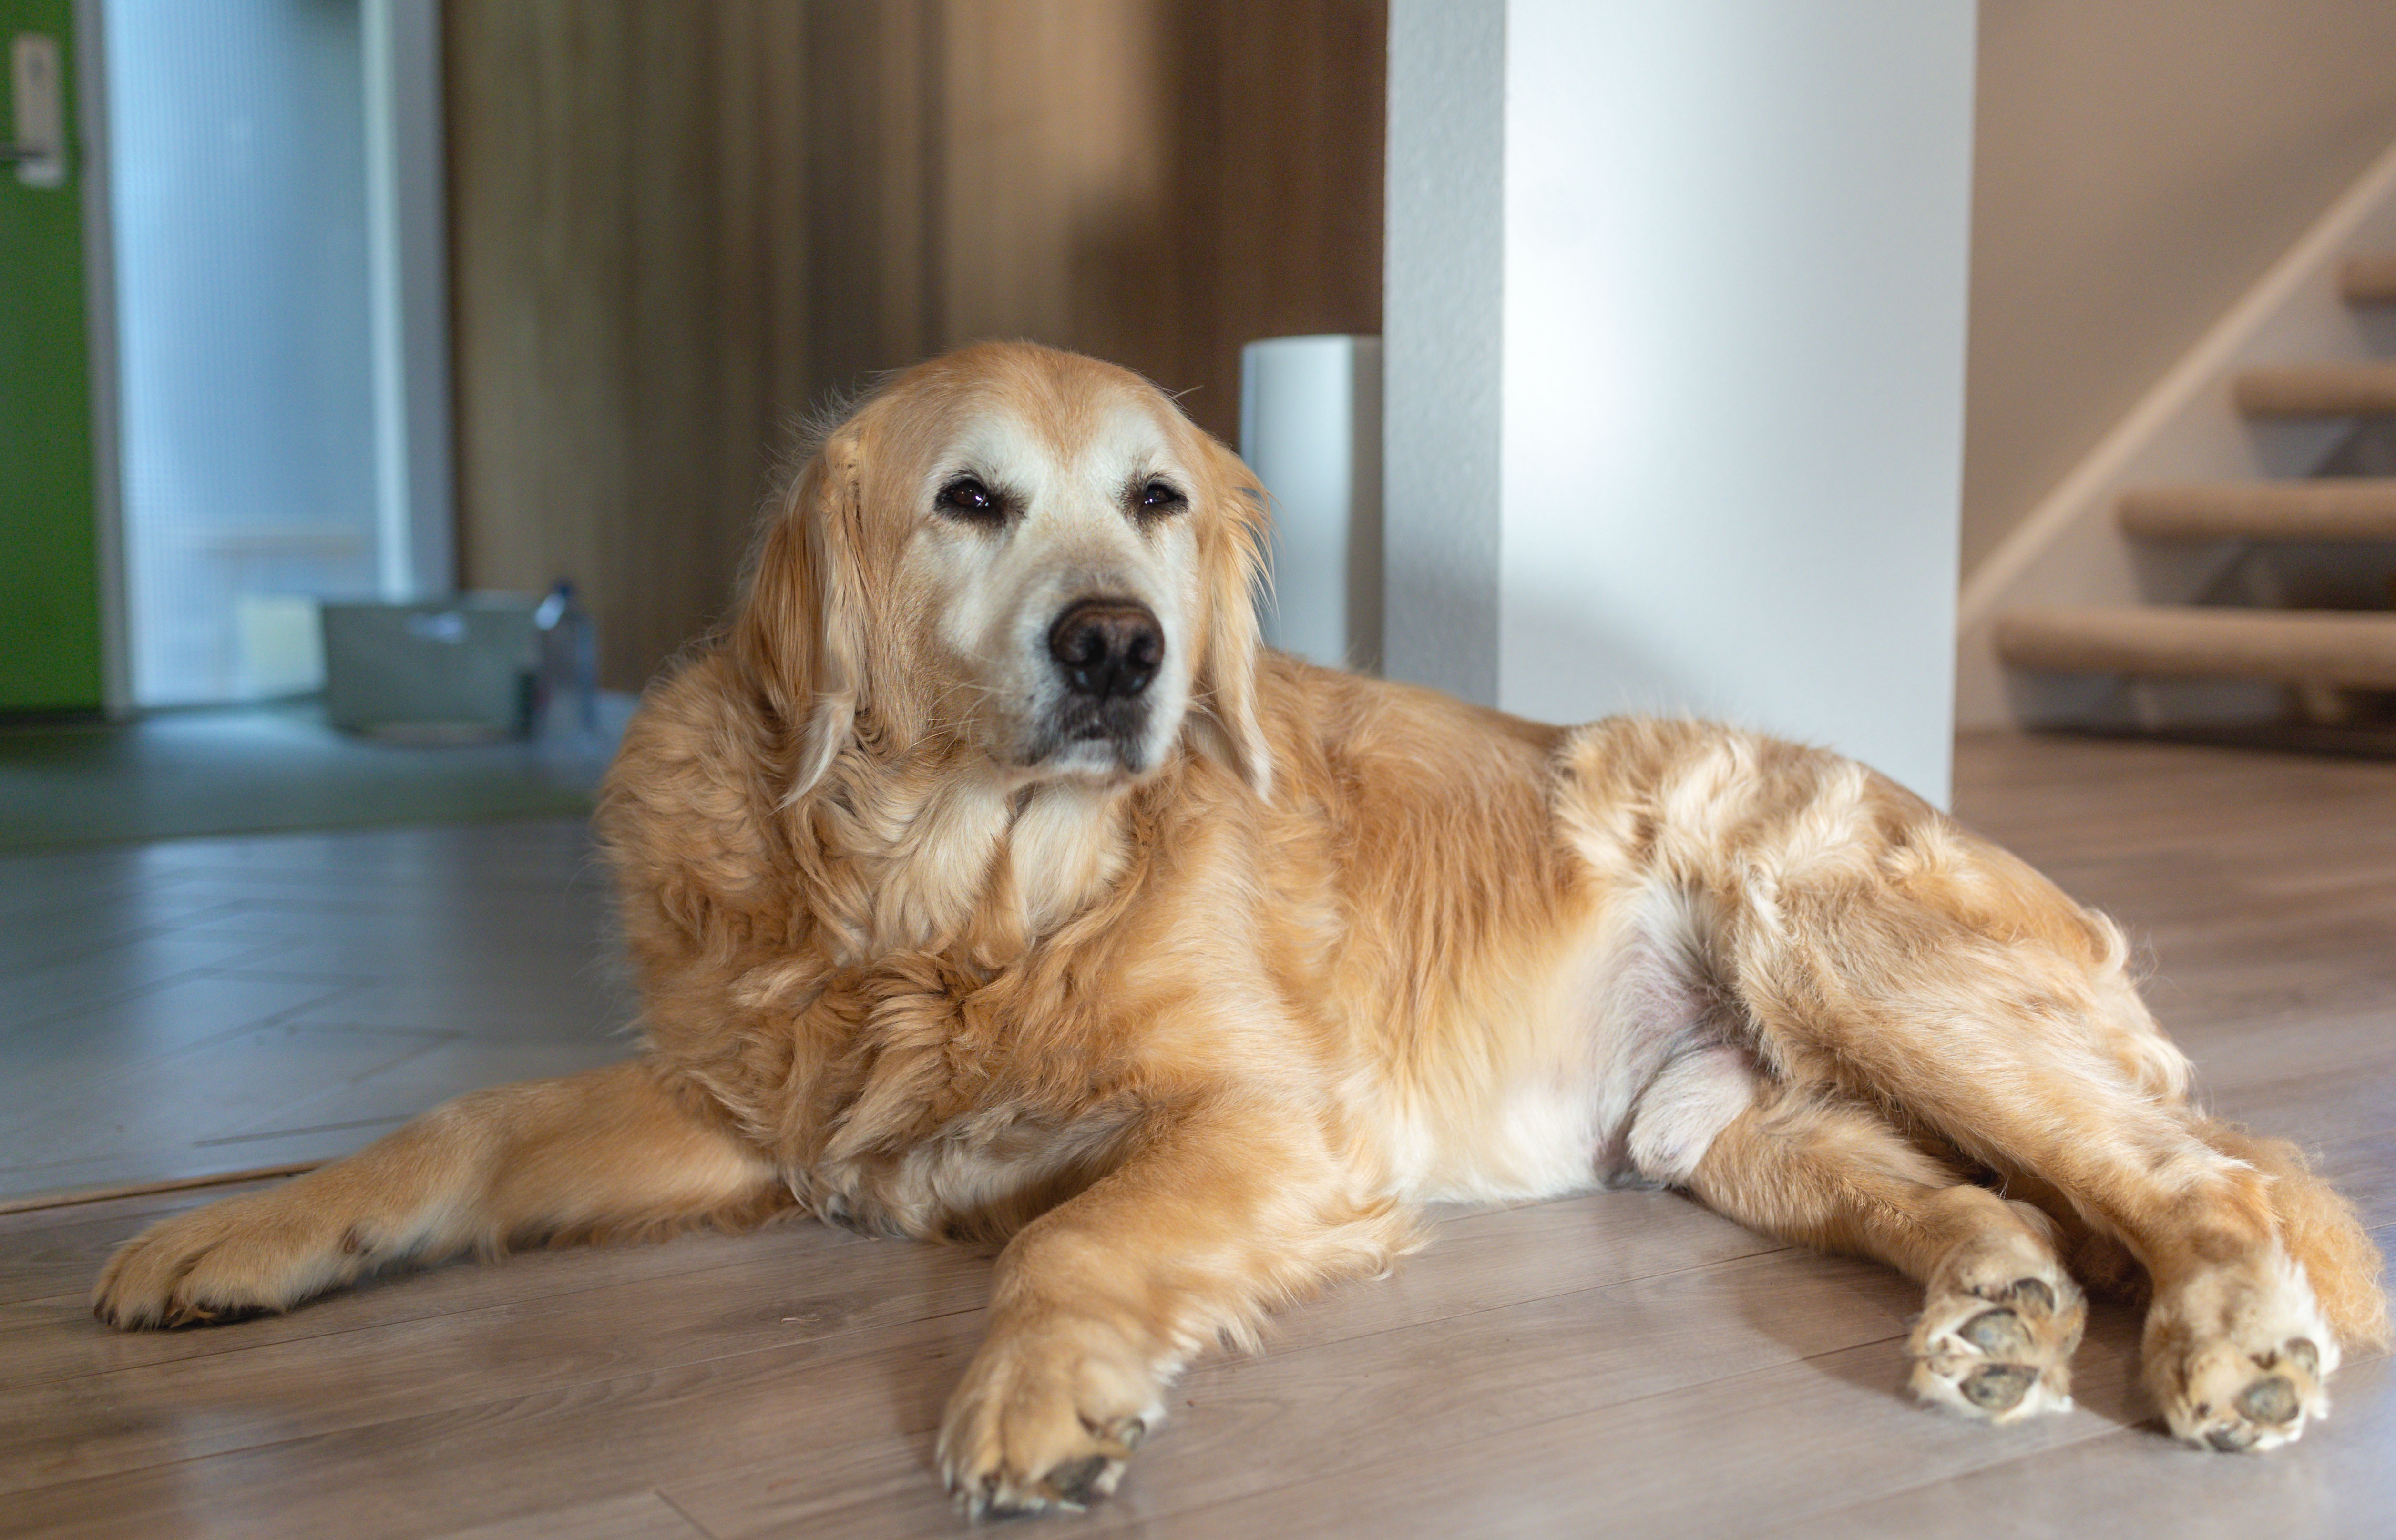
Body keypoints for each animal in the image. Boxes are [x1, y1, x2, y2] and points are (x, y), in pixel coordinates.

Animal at [88, 340, 2376, 1513]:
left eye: (1157, 501)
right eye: (970, 500)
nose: (1118, 647)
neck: (959, 892)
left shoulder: (1268, 1125)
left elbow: (1077, 1240)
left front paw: (1036, 1398)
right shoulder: (751, 1110)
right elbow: (458, 1128)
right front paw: (235, 1233)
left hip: (1840, 948)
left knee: (2187, 1178)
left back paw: (2227, 1339)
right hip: (1726, 1116)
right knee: (1986, 1198)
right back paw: (1991, 1305)